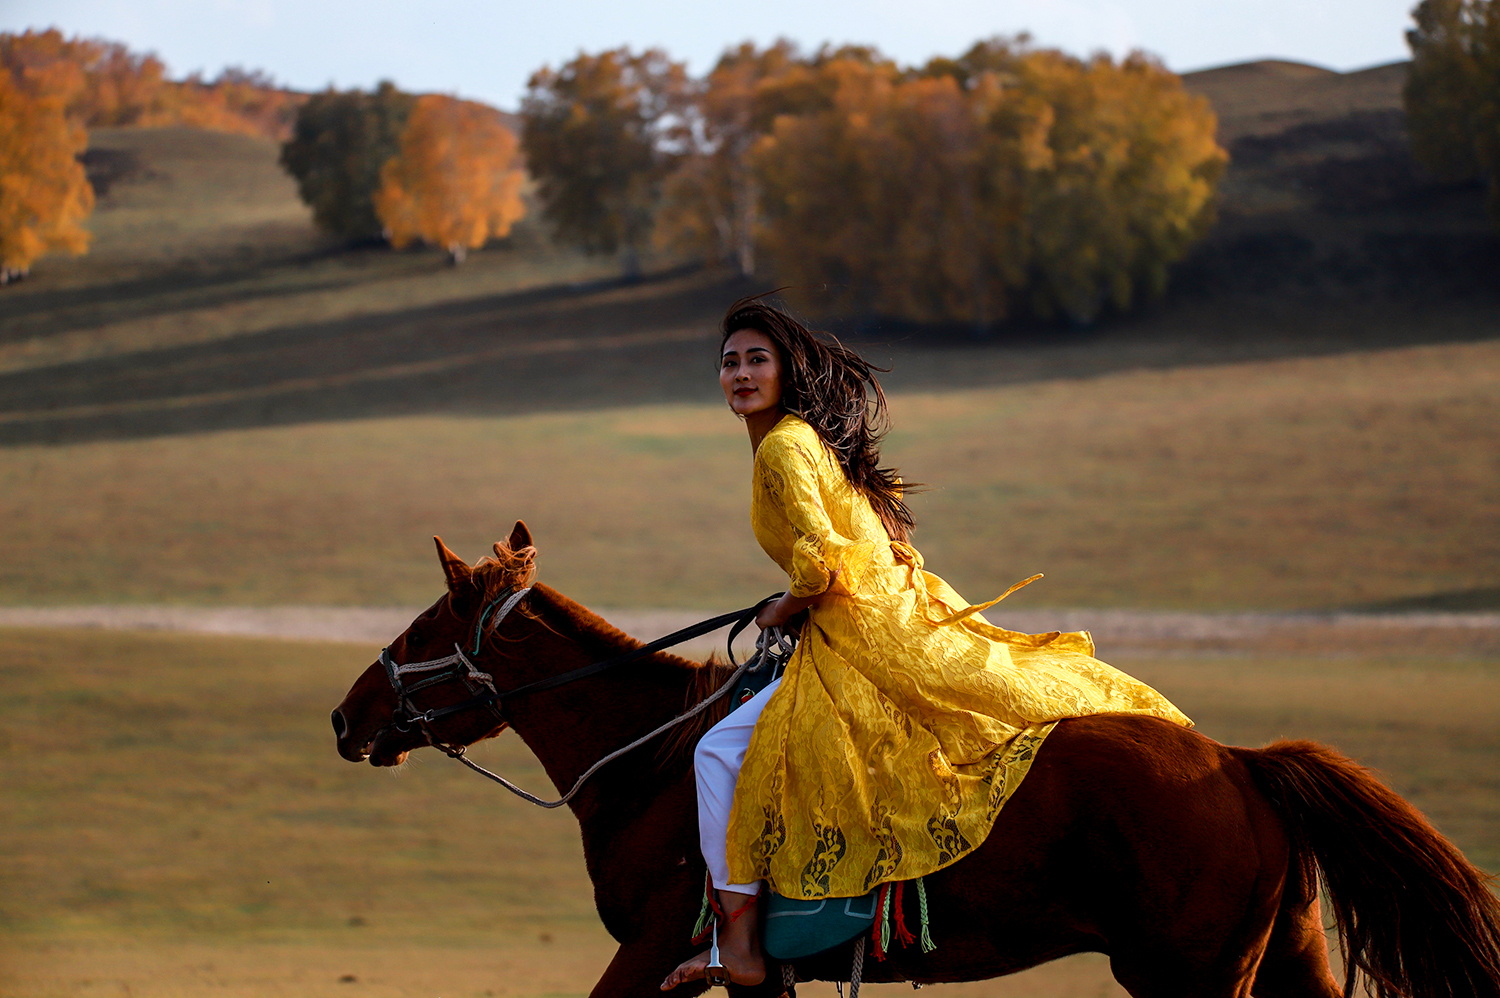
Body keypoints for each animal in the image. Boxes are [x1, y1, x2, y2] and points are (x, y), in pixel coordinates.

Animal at [334, 522, 1500, 996]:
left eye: (428, 620)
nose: (346, 716)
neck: (653, 760)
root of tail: (1239, 762)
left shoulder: (659, 953)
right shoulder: (752, 981)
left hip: (1190, 977)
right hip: (1286, 956)